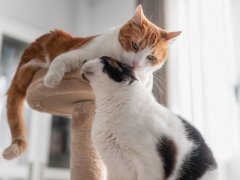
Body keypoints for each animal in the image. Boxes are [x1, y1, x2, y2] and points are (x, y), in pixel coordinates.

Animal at [3, 5, 180, 160]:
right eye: (135, 46)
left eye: (151, 57)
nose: (136, 64)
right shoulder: (82, 53)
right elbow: (61, 60)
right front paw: (52, 79)